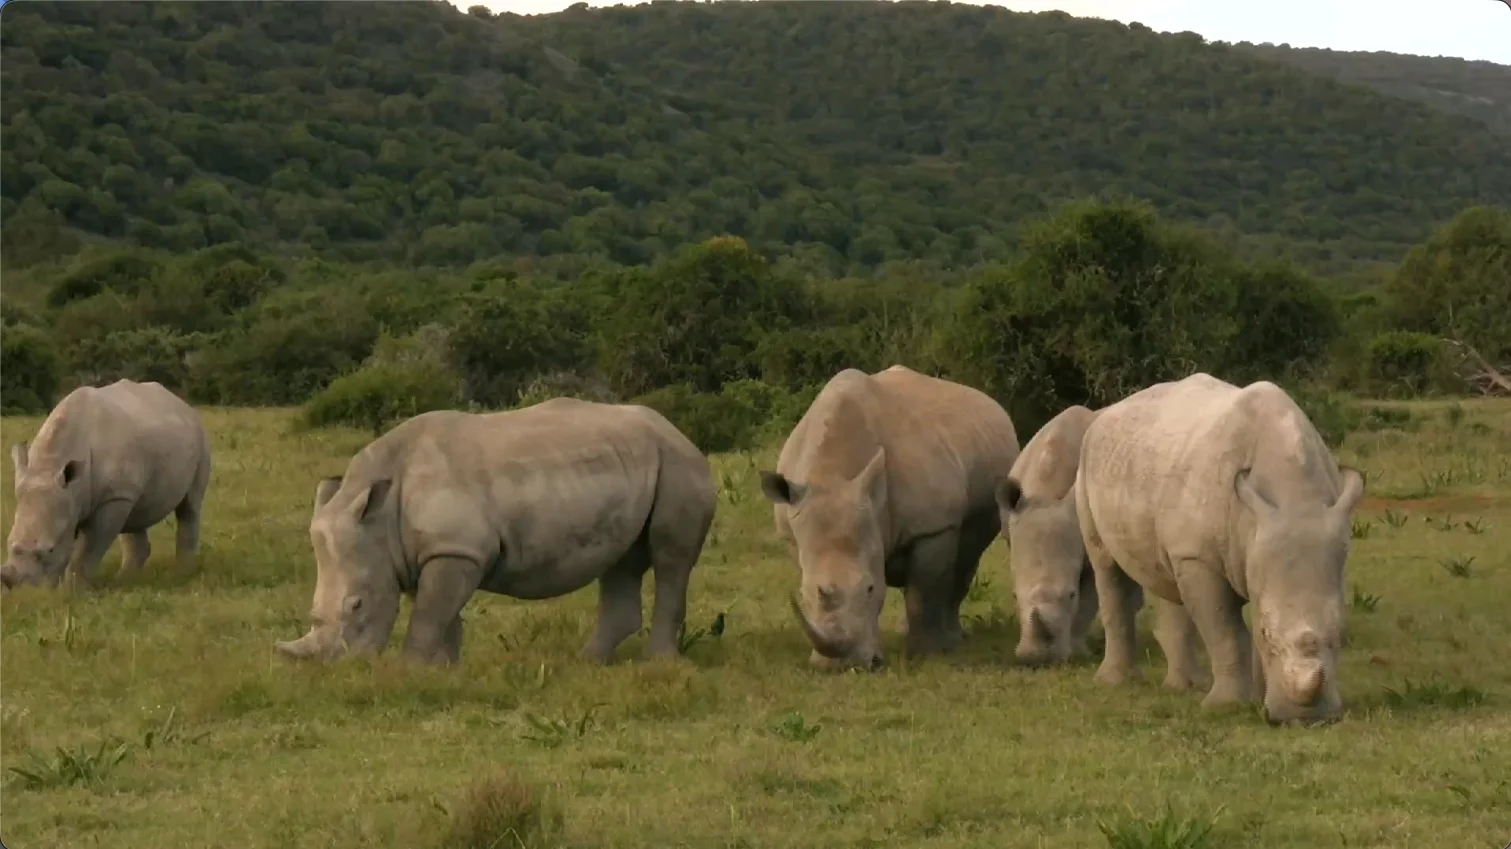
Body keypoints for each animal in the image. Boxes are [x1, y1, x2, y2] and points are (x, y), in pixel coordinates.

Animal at [3, 379, 212, 589]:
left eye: (50, 549)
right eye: (8, 542)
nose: (14, 586)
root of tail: (182, 404)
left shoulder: (111, 497)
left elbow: (87, 549)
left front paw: (73, 589)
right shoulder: (79, 498)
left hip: (200, 436)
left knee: (190, 506)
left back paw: (183, 572)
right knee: (135, 516)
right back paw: (126, 579)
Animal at [274, 398, 717, 666]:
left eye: (357, 605)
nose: (341, 667)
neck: (379, 517)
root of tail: (680, 431)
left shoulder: (455, 548)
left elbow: (428, 617)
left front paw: (409, 669)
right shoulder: (426, 553)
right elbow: (441, 614)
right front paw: (443, 672)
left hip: (678, 465)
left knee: (671, 558)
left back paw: (658, 664)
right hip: (637, 465)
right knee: (621, 562)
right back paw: (585, 663)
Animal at [759, 365, 1021, 671]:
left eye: (871, 588)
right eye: (803, 594)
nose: (843, 666)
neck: (833, 470)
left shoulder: (933, 527)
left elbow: (924, 590)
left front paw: (927, 653)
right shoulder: (795, 533)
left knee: (964, 561)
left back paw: (953, 640)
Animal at [1074, 373, 1366, 724]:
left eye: (1342, 633)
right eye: (1266, 633)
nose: (1304, 719)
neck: (1294, 494)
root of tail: (1105, 413)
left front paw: (1260, 699)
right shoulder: (1200, 557)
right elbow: (1224, 629)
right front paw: (1228, 706)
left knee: (1169, 575)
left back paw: (1185, 687)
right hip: (1087, 463)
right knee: (1106, 565)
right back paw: (1115, 682)